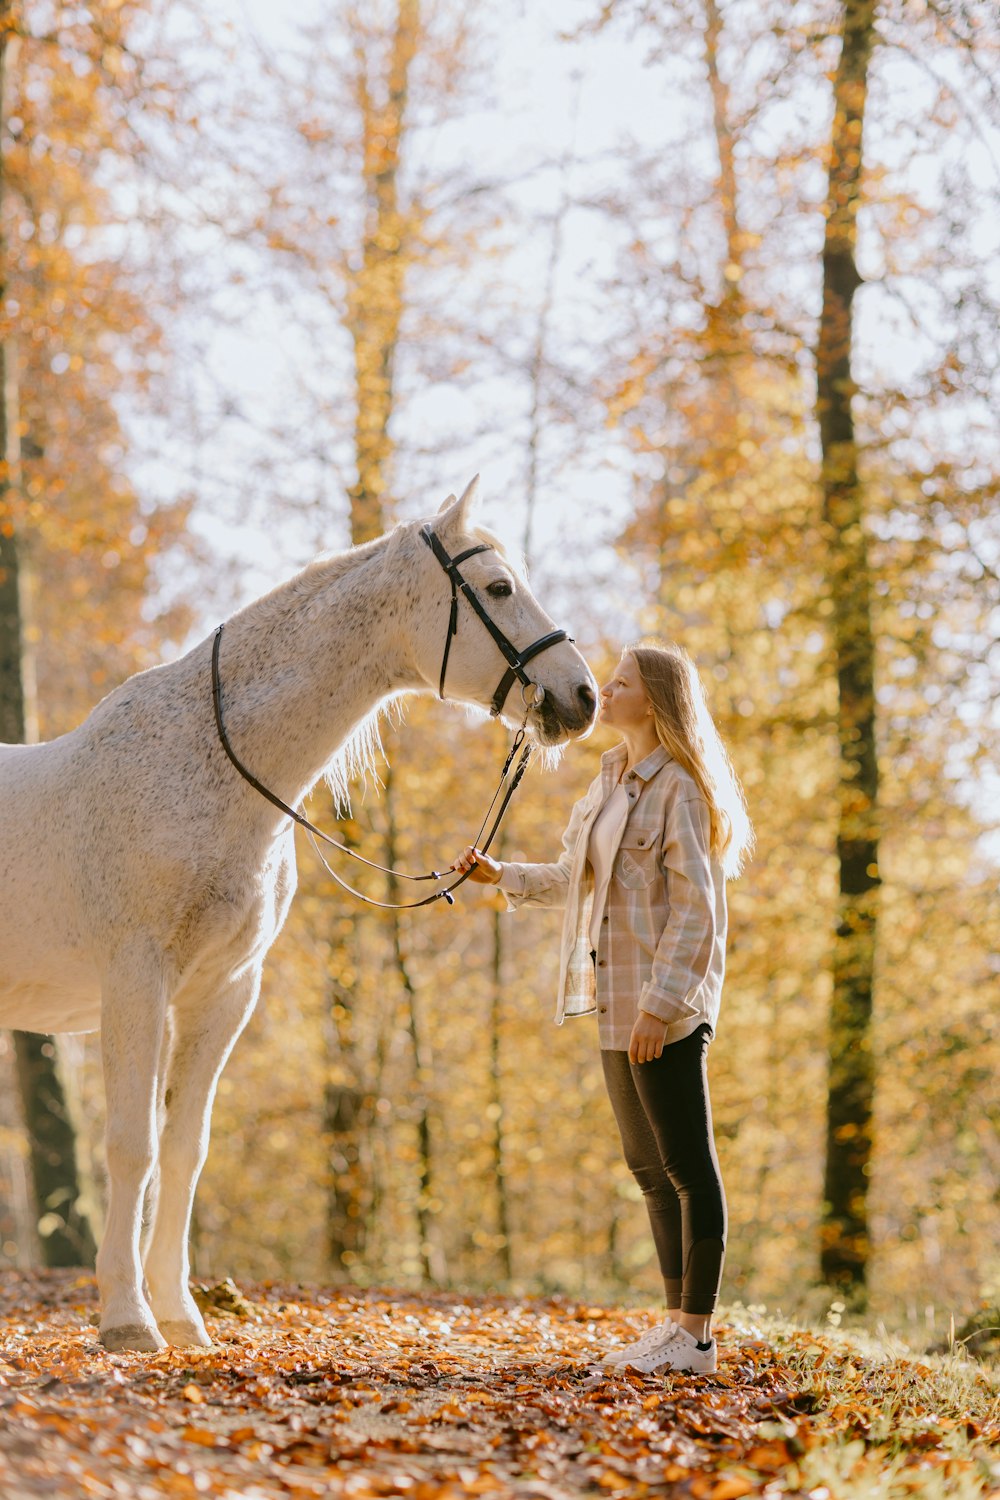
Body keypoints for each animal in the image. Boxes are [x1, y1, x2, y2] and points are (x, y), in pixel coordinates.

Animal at [0, 486, 593, 1356]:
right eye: (498, 589)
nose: (582, 697)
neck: (205, 767)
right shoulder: (135, 982)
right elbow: (133, 1146)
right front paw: (127, 1319)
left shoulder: (223, 993)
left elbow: (184, 1151)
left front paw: (179, 1316)